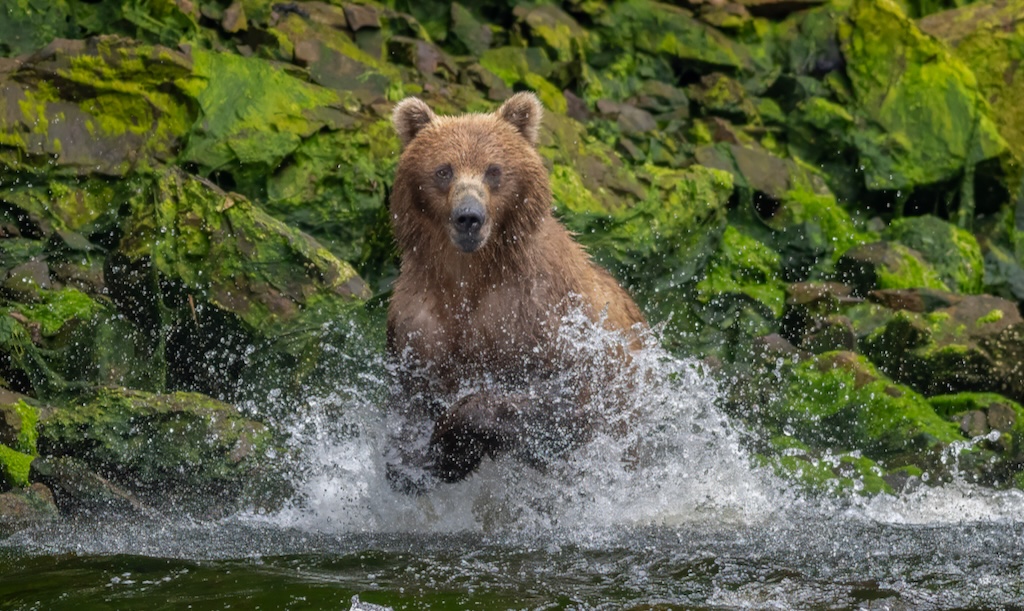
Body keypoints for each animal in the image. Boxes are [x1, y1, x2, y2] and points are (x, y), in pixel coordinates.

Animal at [384, 92, 646, 493]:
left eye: (493, 170)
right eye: (444, 170)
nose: (469, 217)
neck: (471, 276)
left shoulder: (541, 310)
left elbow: (571, 397)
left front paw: (452, 441)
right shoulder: (419, 322)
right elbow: (410, 400)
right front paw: (414, 460)